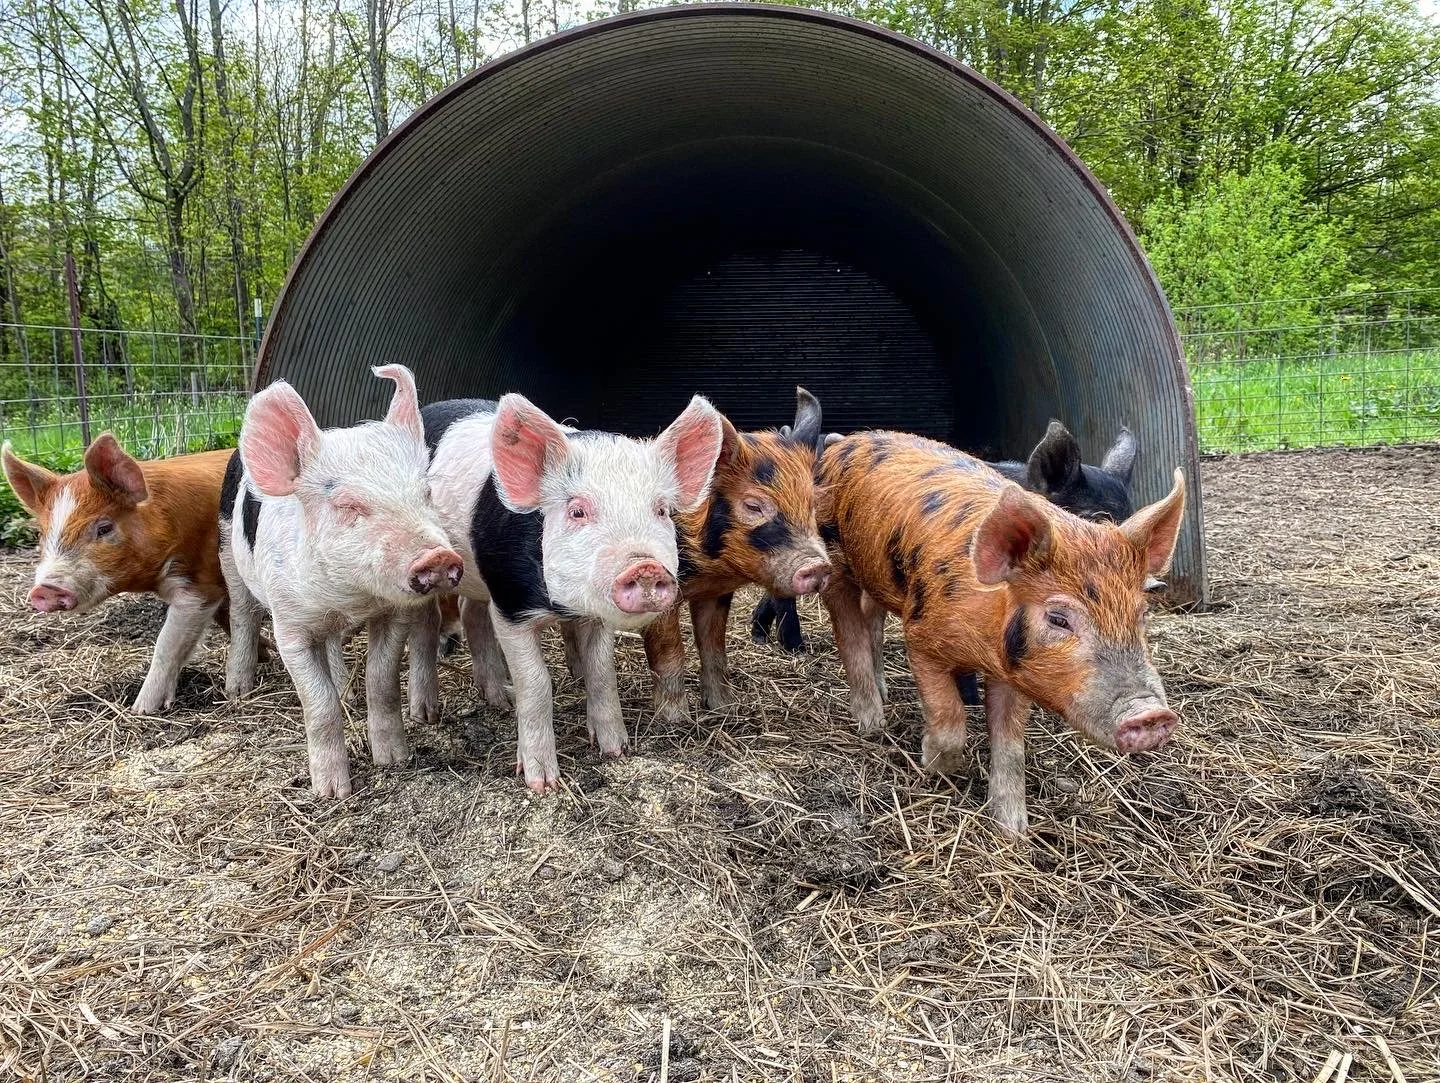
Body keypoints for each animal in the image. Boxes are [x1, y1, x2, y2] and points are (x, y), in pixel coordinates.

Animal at [2, 436, 232, 713]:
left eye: (104, 528)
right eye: (41, 534)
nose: (44, 590)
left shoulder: (200, 586)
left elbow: (166, 644)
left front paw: (141, 710)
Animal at [220, 364, 464, 799]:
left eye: (426, 492)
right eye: (348, 505)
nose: (438, 556)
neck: (348, 598)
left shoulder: (392, 614)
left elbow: (381, 680)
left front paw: (394, 761)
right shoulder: (289, 626)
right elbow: (318, 703)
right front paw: (332, 793)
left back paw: (347, 693)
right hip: (227, 549)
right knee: (243, 613)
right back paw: (238, 690)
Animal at [411, 393, 723, 791]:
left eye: (662, 510)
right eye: (577, 511)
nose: (645, 567)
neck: (560, 606)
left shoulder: (595, 616)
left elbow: (602, 672)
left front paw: (616, 751)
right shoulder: (510, 607)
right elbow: (536, 684)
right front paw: (542, 783)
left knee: (471, 612)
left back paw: (500, 700)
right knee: (425, 624)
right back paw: (426, 715)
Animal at [641, 386, 832, 720]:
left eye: (813, 504)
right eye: (754, 506)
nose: (818, 566)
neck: (706, 571)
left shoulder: (715, 595)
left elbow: (714, 649)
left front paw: (724, 707)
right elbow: (669, 653)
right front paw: (675, 721)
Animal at [817, 430, 1185, 836]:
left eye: (1142, 613)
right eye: (1059, 619)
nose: (1150, 713)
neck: (985, 644)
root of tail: (844, 441)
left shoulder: (1016, 671)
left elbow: (1010, 744)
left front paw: (1013, 830)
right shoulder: (921, 638)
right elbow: (948, 717)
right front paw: (932, 764)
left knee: (873, 617)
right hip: (833, 559)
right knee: (849, 629)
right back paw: (872, 725)